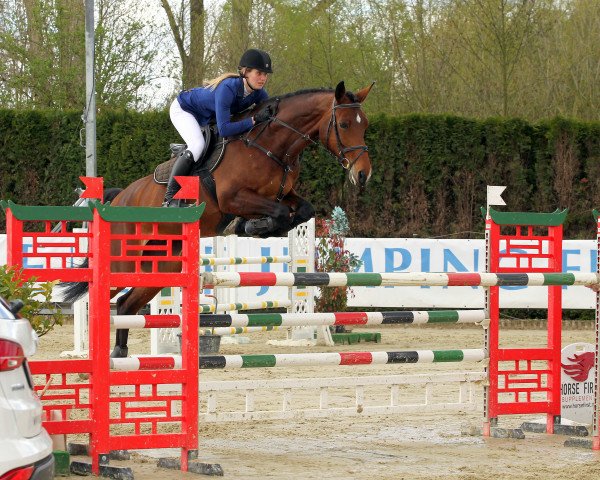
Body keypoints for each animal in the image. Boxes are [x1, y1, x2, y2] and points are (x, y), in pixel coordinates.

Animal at [62, 80, 370, 356]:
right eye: (344, 125)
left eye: (364, 124)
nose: (363, 174)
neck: (270, 145)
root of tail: (118, 198)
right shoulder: (233, 198)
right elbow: (280, 212)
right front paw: (254, 224)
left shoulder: (284, 194)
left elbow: (302, 211)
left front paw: (257, 226)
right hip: (123, 262)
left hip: (161, 265)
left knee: (126, 305)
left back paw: (119, 354)